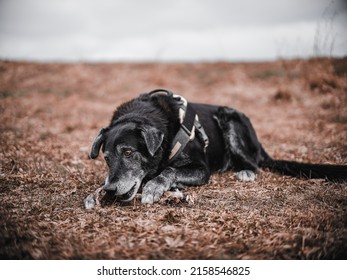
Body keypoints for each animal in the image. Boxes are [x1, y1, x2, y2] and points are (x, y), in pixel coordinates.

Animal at [90, 88, 347, 203]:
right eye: (107, 158)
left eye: (128, 152)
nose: (110, 190)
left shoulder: (202, 169)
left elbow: (169, 170)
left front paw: (155, 186)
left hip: (230, 119)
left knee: (254, 163)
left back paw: (245, 171)